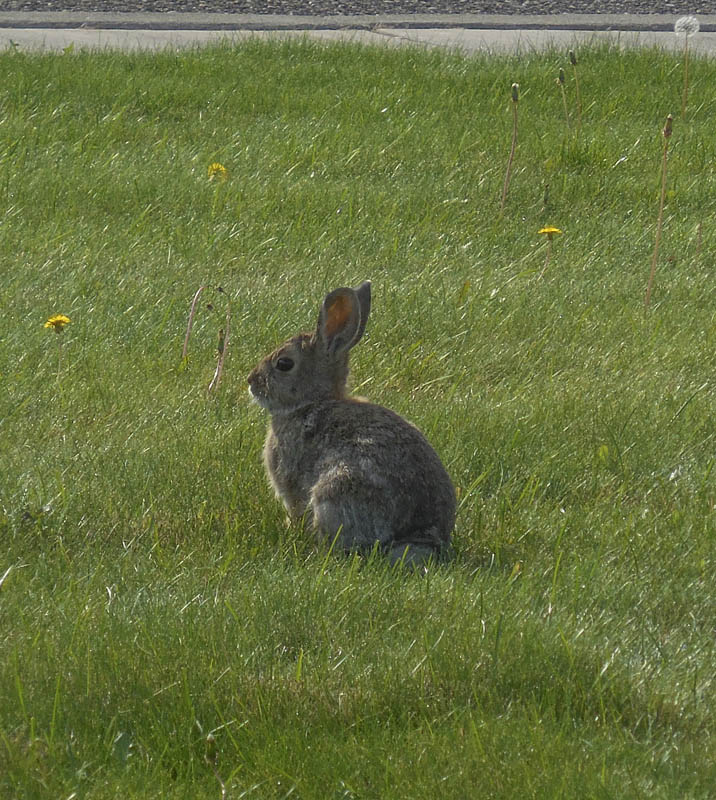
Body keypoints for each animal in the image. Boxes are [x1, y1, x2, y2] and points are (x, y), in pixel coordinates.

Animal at [247, 280, 456, 566]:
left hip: (334, 492)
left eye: (284, 364)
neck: (311, 402)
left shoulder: (290, 482)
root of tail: (422, 536)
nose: (251, 381)